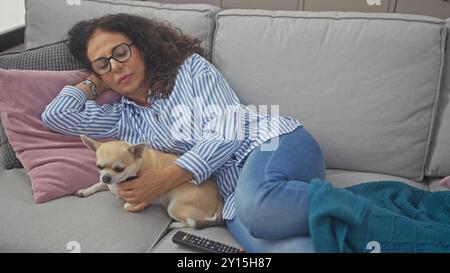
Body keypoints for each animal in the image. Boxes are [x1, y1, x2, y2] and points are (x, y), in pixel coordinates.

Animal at [78, 134, 225, 227]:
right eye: (99, 167)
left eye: (119, 169)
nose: (106, 177)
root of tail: (218, 198)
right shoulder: (107, 184)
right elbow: (98, 185)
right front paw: (86, 190)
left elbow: (127, 205)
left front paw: (128, 204)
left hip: (174, 208)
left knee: (189, 223)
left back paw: (175, 225)